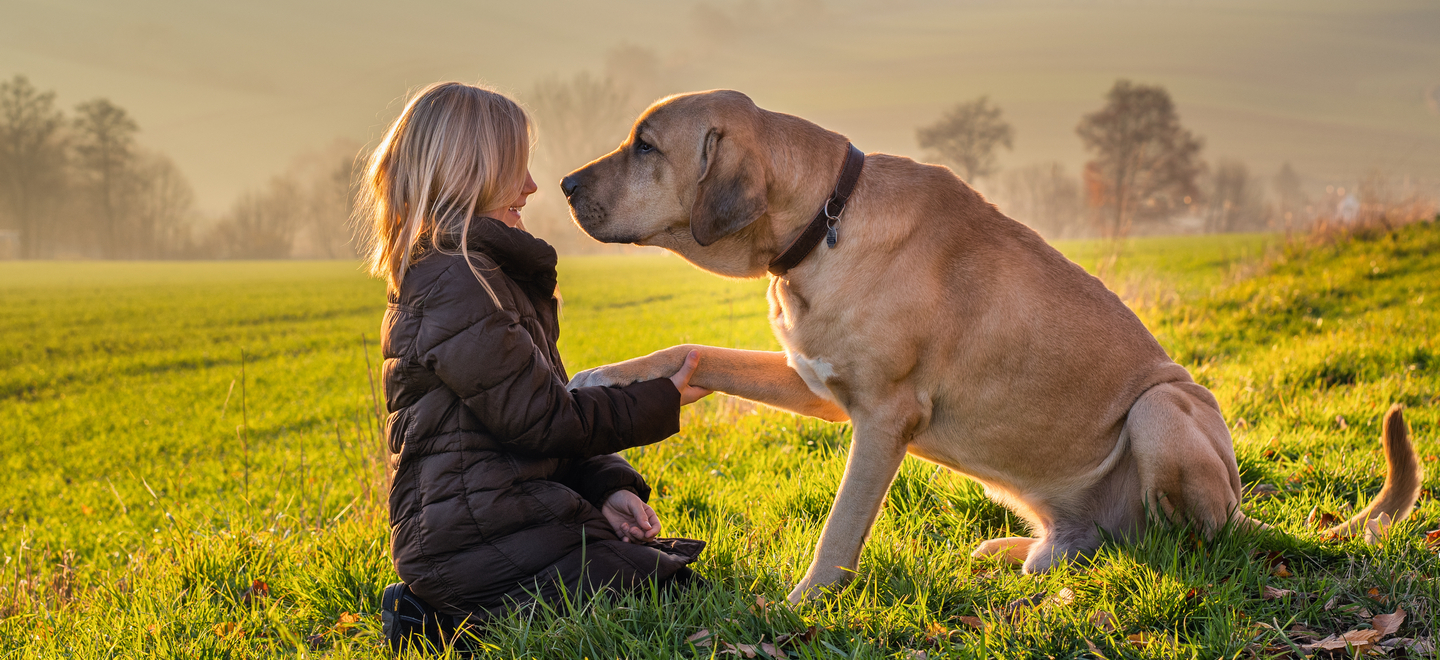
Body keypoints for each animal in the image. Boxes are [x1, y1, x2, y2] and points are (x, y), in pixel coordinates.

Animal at [555, 88, 1422, 602]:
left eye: (645, 146)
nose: (561, 184)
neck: (826, 219)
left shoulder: (883, 418)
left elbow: (840, 527)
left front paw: (804, 606)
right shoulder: (818, 385)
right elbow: (688, 351)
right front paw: (598, 378)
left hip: (1163, 408)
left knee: (1193, 538)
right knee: (1090, 547)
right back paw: (1022, 552)